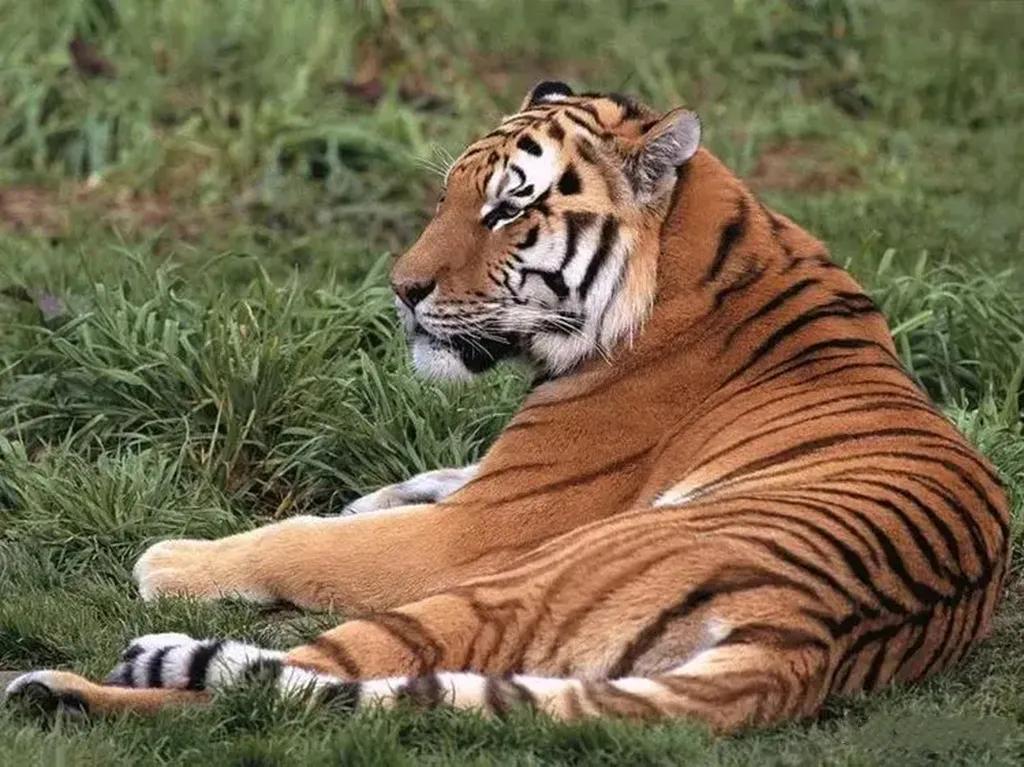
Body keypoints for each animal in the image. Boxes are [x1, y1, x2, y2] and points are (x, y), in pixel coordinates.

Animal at [5, 81, 1010, 734]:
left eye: (505, 212)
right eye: (449, 194)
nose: (401, 290)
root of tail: (803, 638)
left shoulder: (478, 529)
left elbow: (307, 542)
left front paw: (173, 558)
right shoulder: (485, 483)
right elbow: (410, 485)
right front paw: (372, 494)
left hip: (505, 585)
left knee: (270, 691)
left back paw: (58, 687)